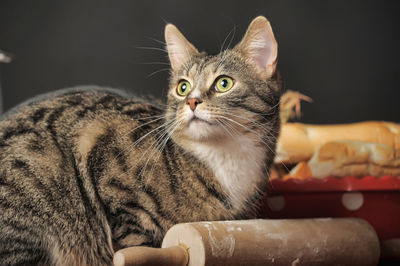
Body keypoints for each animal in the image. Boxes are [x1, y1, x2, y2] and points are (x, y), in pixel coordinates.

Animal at [0, 16, 282, 264]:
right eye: (182, 87)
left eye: (224, 83)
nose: (192, 101)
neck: (225, 157)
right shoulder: (108, 168)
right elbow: (137, 241)